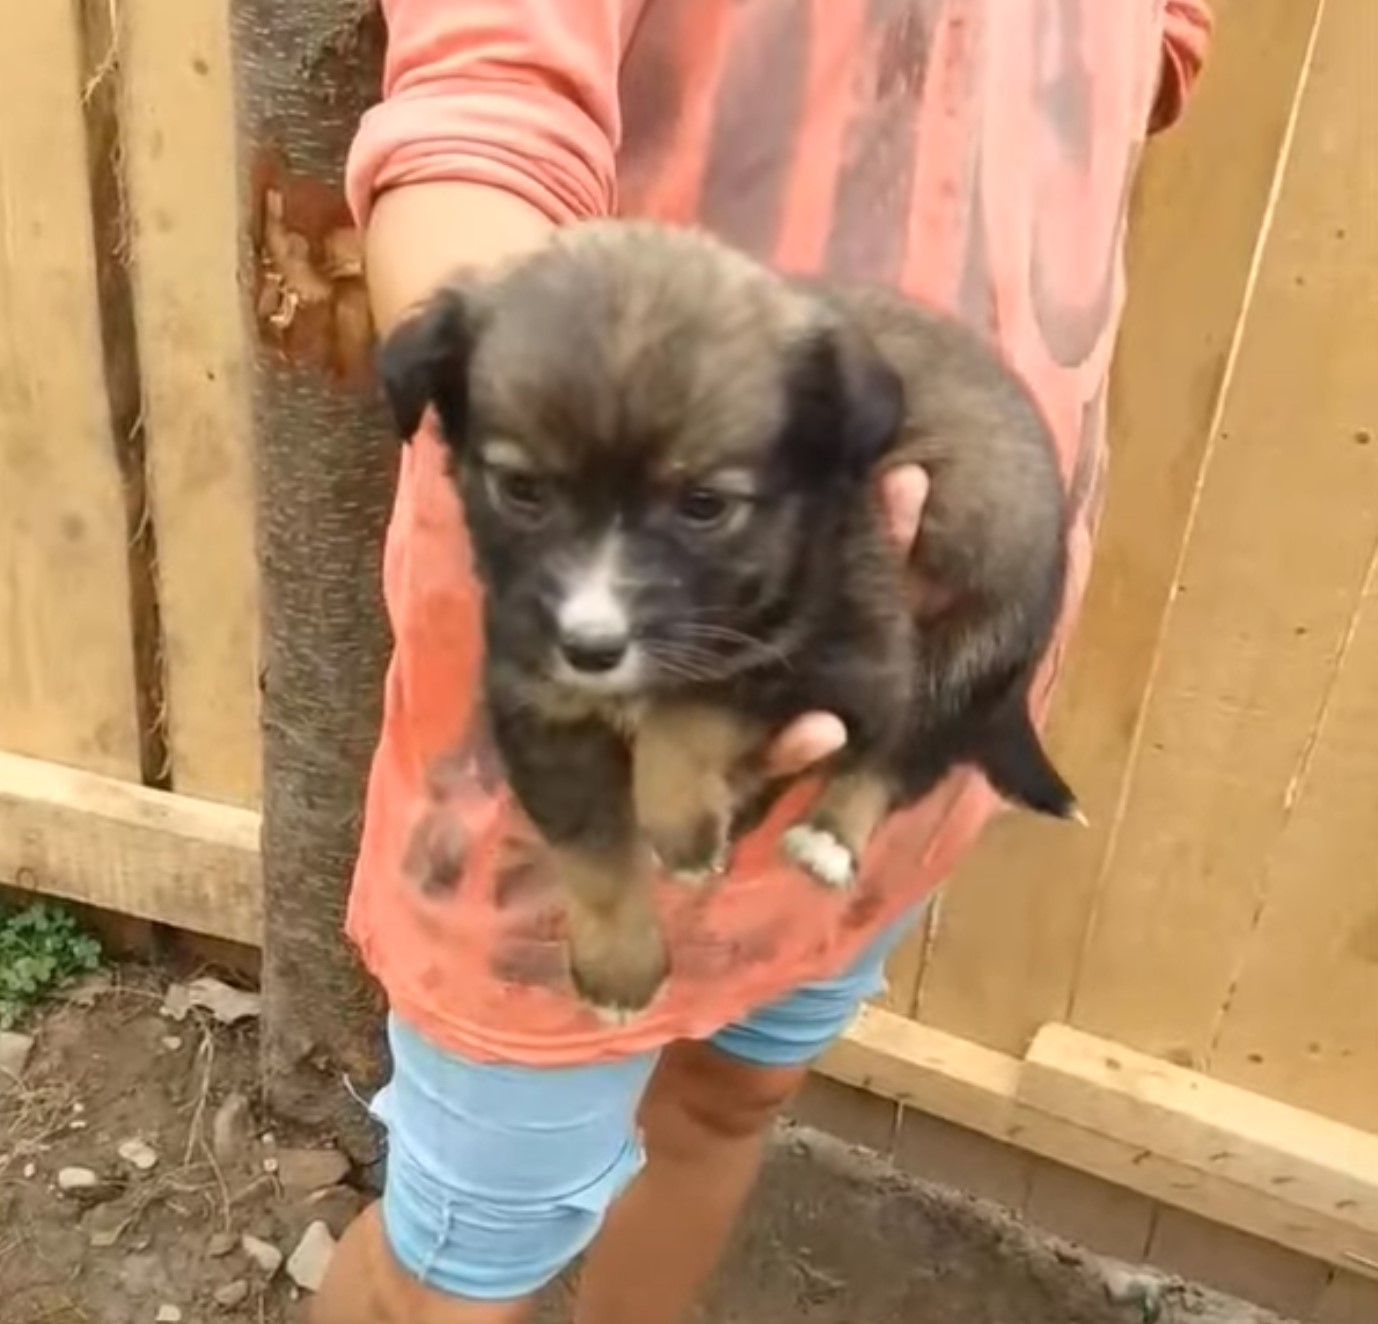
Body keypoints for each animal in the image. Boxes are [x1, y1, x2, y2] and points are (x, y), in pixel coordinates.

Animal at [377, 221, 1074, 1019]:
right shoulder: (543, 706)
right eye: (522, 489)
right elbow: (593, 853)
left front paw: (682, 824)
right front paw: (619, 968)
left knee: (900, 755)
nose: (590, 649)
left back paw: (827, 836)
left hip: (970, 644)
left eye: (704, 505)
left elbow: (699, 704)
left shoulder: (844, 651)